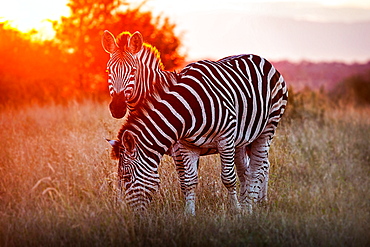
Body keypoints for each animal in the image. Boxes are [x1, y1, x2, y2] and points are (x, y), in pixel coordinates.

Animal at [102, 29, 288, 214]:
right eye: (108, 71)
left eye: (133, 71)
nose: (117, 107)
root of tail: (258, 57)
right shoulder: (186, 145)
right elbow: (188, 180)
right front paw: (190, 214)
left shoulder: (220, 139)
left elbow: (225, 177)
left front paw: (235, 211)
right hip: (243, 139)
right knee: (248, 169)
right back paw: (250, 202)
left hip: (267, 128)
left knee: (259, 167)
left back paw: (253, 204)